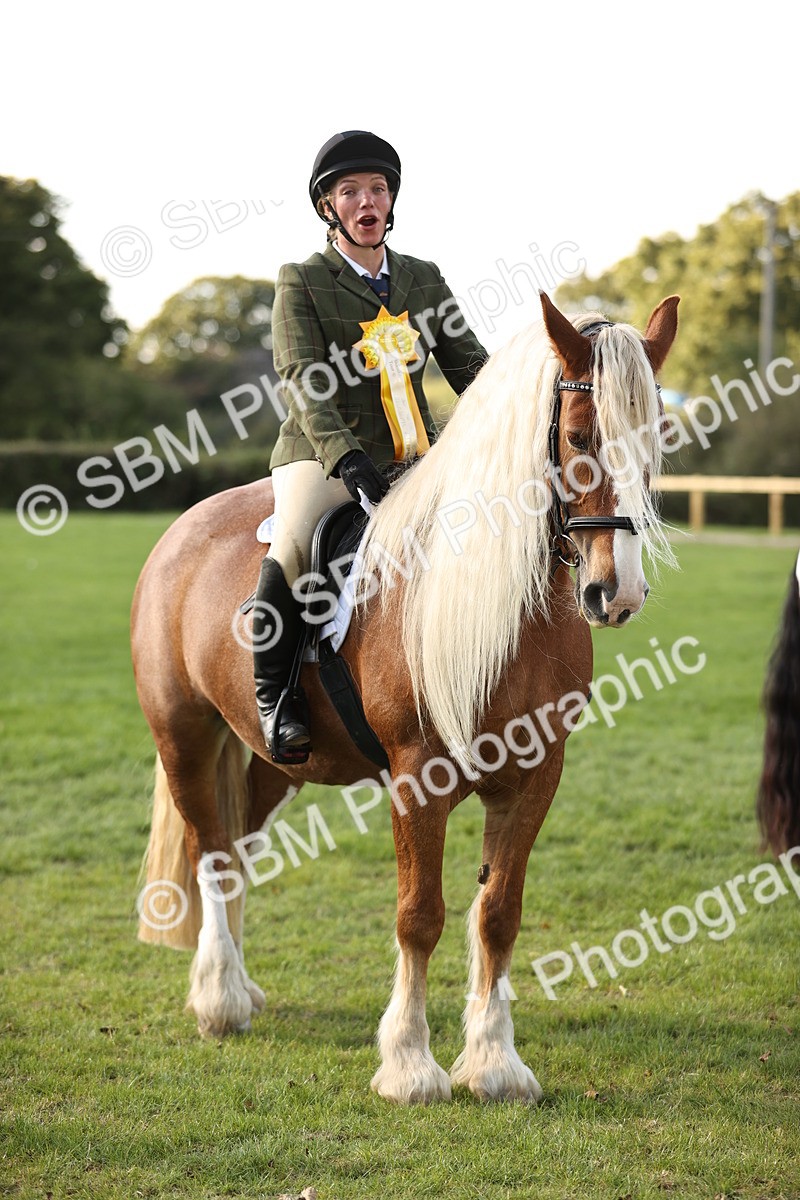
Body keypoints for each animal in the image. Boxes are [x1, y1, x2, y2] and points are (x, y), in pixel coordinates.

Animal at [131, 290, 679, 1104]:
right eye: (579, 436)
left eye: (656, 441)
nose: (616, 594)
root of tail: (183, 528)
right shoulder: (419, 777)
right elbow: (420, 915)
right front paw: (411, 1066)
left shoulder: (536, 776)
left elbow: (499, 914)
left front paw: (494, 1063)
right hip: (186, 736)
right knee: (213, 852)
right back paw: (220, 999)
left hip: (271, 763)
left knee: (238, 843)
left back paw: (241, 987)